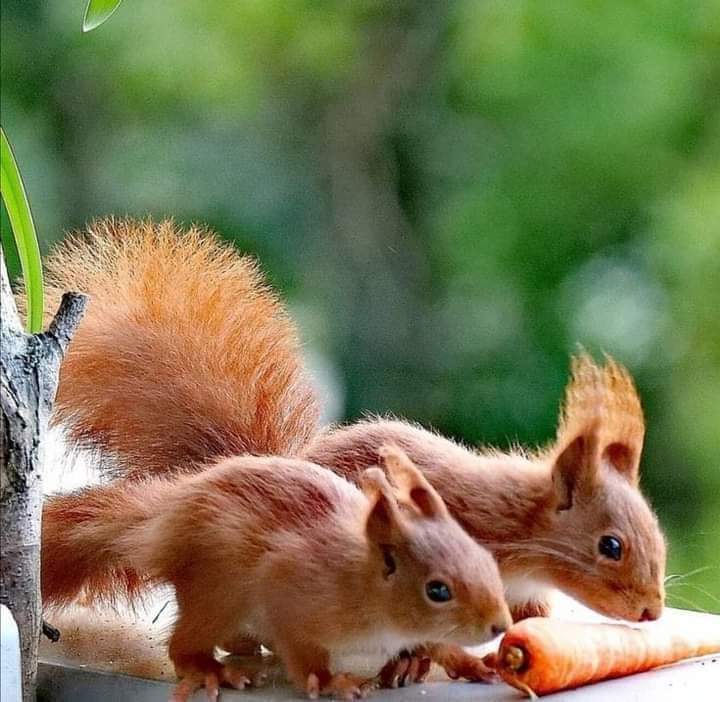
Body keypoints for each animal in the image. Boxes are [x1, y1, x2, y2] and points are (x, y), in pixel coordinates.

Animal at [42, 448, 512, 700]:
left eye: (486, 560)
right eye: (437, 590)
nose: (500, 625)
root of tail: (165, 519)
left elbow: (439, 645)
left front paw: (474, 663)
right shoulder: (291, 592)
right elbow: (302, 650)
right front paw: (329, 681)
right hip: (217, 591)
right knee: (183, 645)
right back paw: (209, 670)